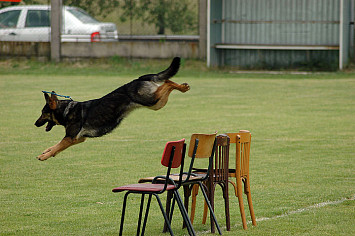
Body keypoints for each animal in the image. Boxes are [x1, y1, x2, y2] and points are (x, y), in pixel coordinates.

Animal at [35, 57, 191, 160]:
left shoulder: (70, 138)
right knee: (167, 81)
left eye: (43, 113)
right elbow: (55, 146)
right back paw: (183, 87)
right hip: (157, 103)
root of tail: (139, 78)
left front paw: (44, 156)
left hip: (151, 101)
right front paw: (46, 152)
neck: (67, 110)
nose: (35, 123)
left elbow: (58, 145)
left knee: (167, 83)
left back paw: (183, 87)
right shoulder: (78, 139)